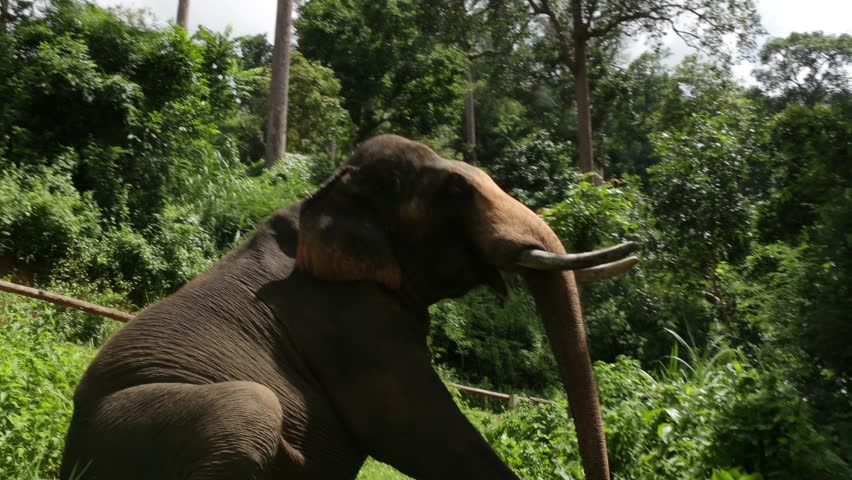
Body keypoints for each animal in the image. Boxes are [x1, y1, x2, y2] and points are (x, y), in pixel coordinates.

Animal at [60, 134, 637, 480]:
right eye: (456, 189)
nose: (637, 246)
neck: (324, 193)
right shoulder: (348, 321)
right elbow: (411, 428)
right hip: (134, 428)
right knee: (249, 409)